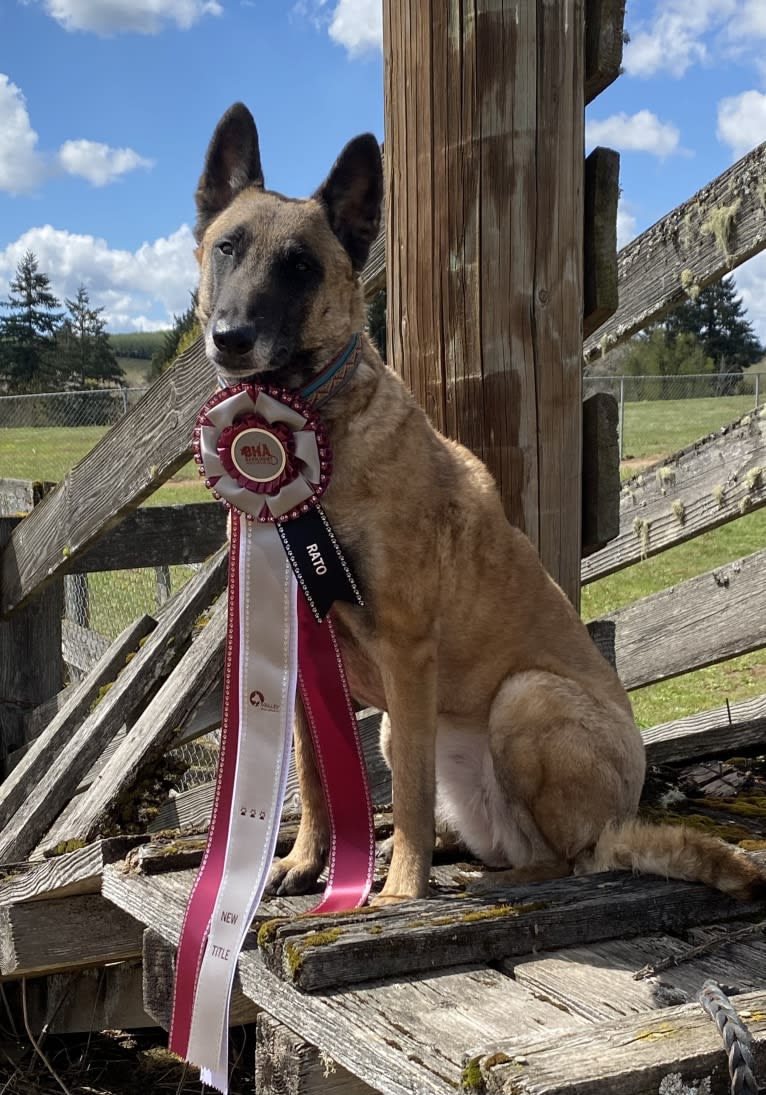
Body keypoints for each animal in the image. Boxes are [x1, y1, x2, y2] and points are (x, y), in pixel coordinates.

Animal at [192, 102, 766, 906]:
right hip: (405, 730)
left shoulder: (407, 651)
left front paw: (400, 893)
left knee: (570, 855)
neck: (313, 427)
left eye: (300, 267)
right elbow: (310, 777)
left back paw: (487, 872)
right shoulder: (301, 662)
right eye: (228, 248)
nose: (231, 338)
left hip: (525, 698)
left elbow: (406, 792)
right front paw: (308, 860)